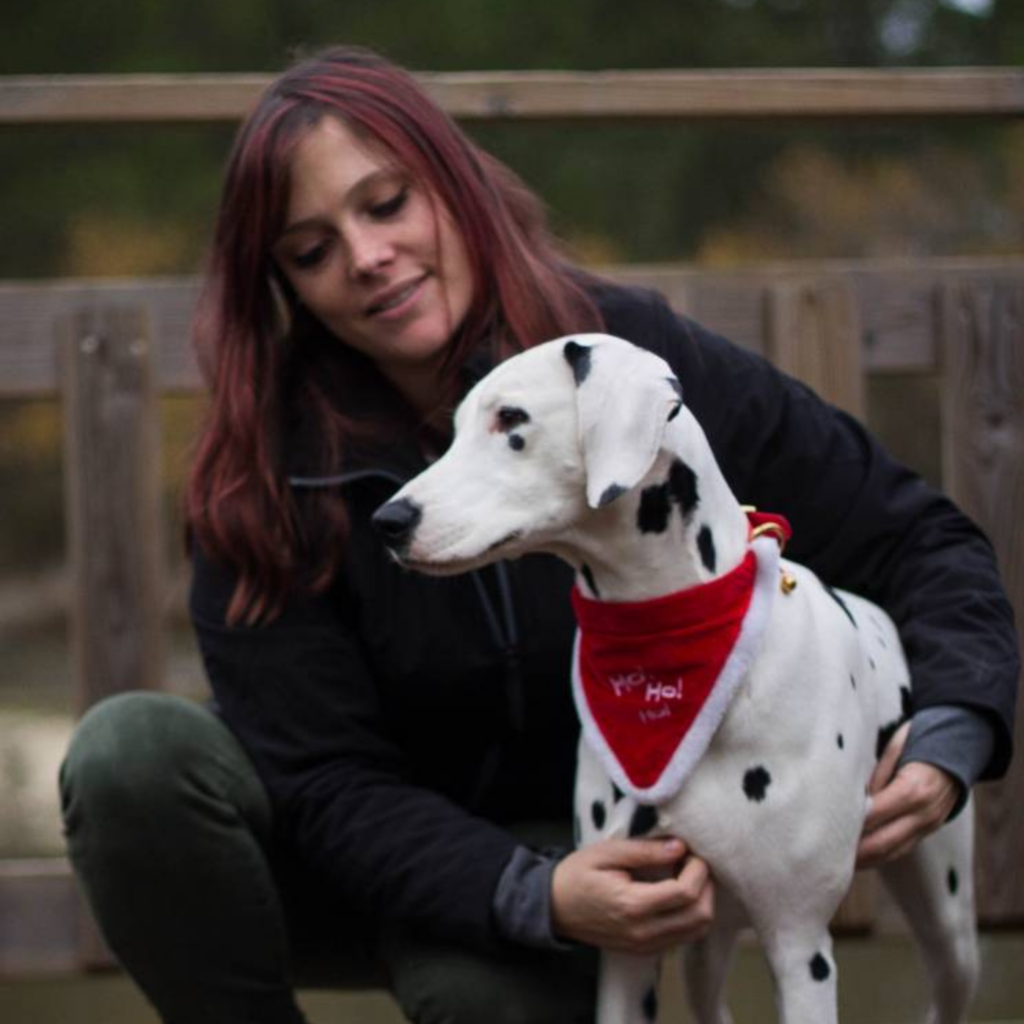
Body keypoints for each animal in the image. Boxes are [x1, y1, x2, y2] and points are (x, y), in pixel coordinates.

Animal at [372, 335, 978, 1024]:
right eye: (455, 429)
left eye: (510, 420)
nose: (387, 520)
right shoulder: (626, 940)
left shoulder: (800, 946)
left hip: (949, 927)